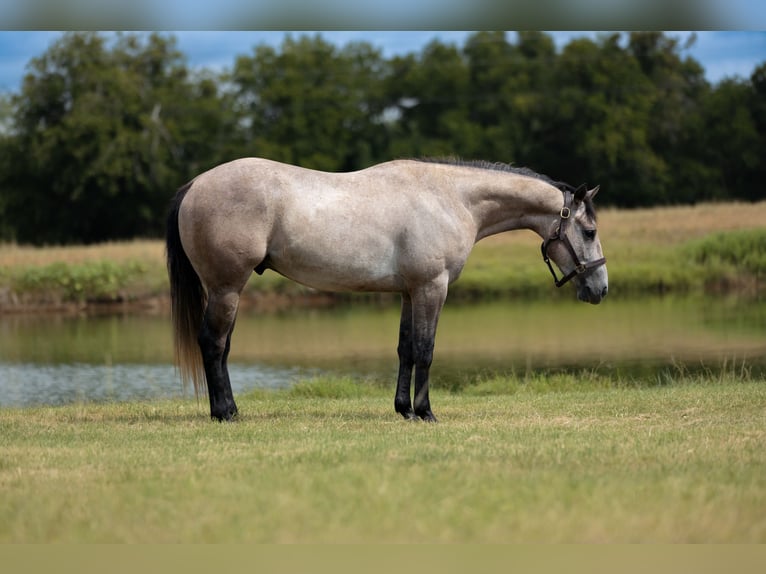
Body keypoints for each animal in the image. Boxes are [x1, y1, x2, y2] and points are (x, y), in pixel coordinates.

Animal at [166, 157, 608, 422]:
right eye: (589, 231)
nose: (600, 288)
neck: (450, 199)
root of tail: (195, 184)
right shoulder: (432, 287)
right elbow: (426, 350)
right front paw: (426, 412)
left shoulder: (409, 292)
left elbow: (406, 349)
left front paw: (404, 410)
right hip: (226, 288)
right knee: (213, 344)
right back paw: (225, 412)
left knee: (222, 347)